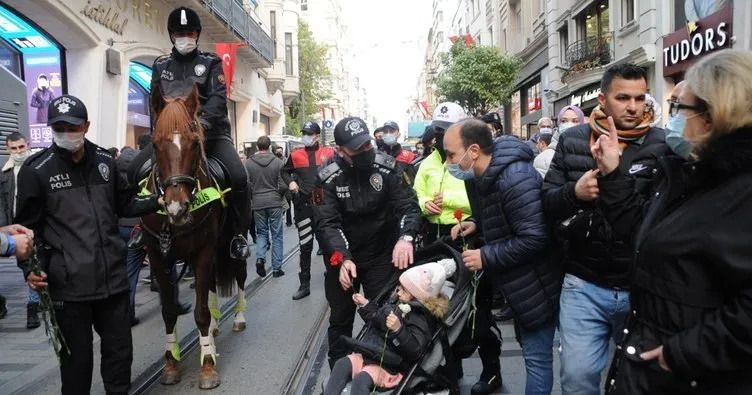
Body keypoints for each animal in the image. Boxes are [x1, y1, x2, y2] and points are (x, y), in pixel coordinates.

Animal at [140, 86, 248, 390]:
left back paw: (237, 317)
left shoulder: (202, 251)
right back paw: (213, 327)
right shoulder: (158, 257)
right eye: (155, 144)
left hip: (234, 242)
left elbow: (199, 312)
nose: (177, 207)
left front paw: (208, 365)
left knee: (240, 275)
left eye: (194, 142)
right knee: (209, 284)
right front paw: (170, 363)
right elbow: (169, 310)